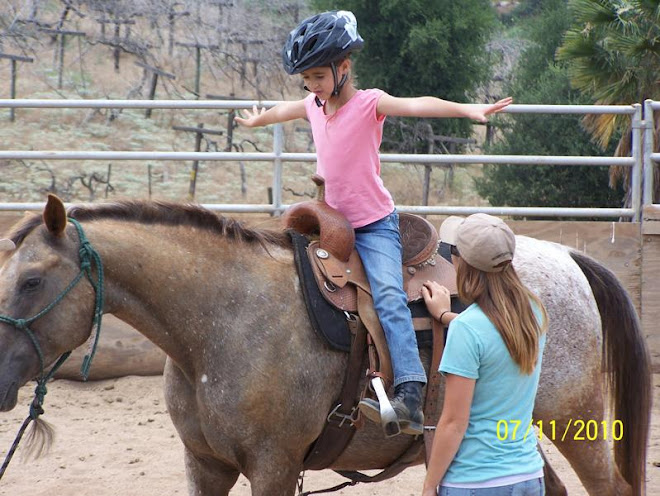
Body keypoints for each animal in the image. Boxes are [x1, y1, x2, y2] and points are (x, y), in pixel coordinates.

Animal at [0, 196, 648, 494]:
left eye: (31, 281)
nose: (1, 381)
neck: (221, 320)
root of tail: (566, 255)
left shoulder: (273, 466)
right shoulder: (205, 465)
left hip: (574, 419)